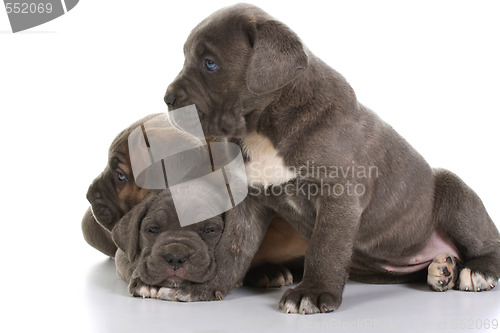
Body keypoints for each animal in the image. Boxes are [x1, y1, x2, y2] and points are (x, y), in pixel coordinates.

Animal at [164, 3, 500, 312]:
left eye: (210, 64)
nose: (167, 99)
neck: (265, 128)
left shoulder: (338, 195)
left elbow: (324, 248)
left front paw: (311, 292)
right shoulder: (249, 201)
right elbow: (232, 247)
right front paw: (204, 287)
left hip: (453, 188)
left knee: (488, 241)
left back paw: (476, 271)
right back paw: (442, 270)